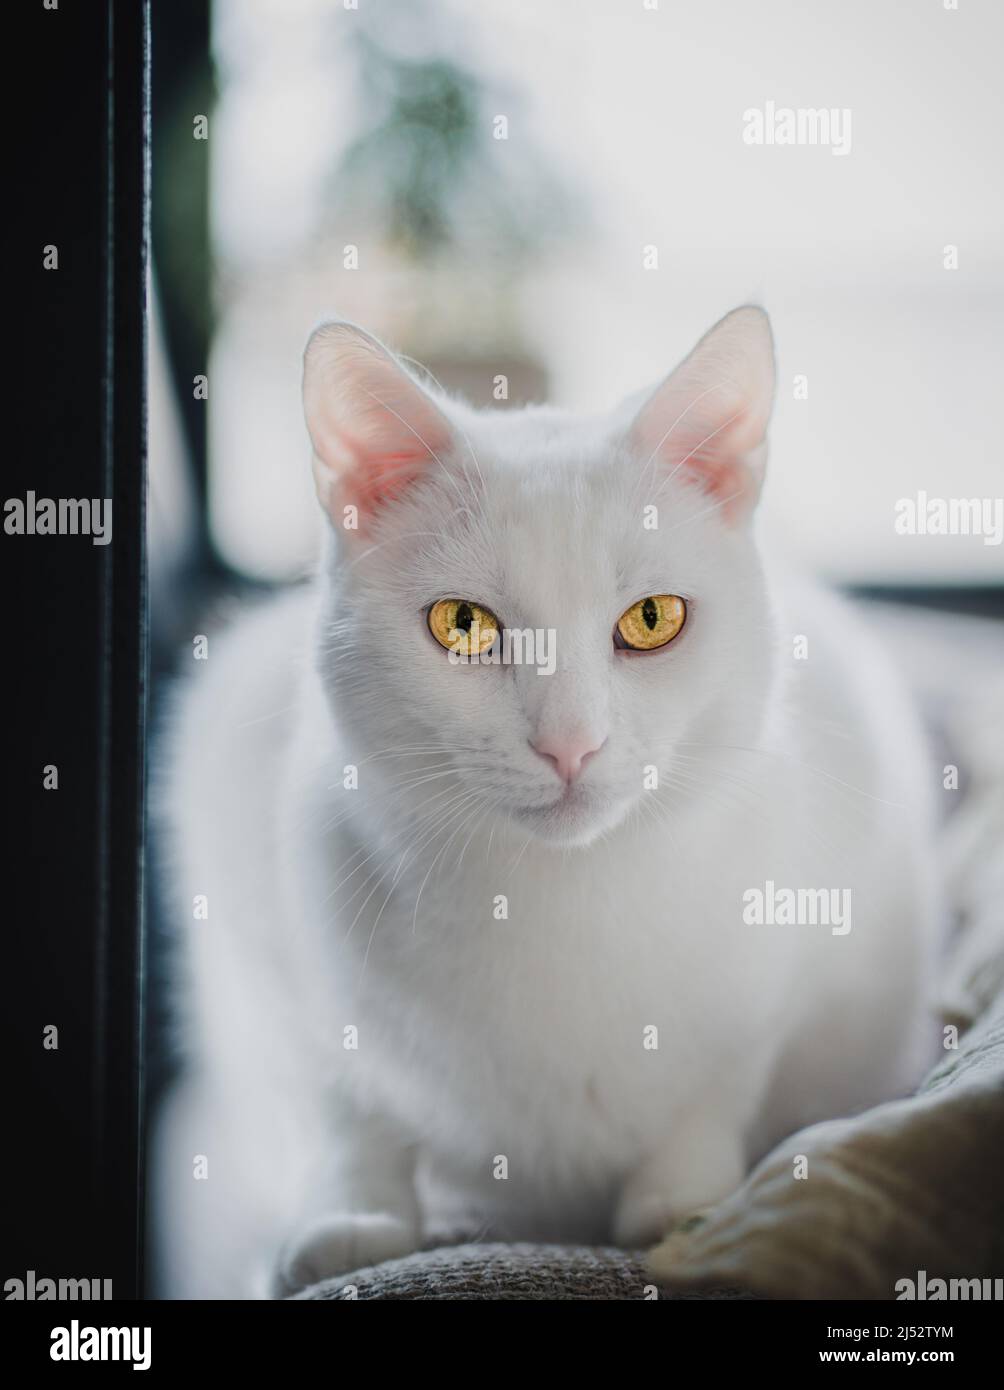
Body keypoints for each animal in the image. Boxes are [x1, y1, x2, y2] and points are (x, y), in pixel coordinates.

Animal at [150, 307, 940, 1301]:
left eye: (652, 619)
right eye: (463, 625)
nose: (571, 743)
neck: (552, 901)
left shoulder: (798, 966)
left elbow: (716, 1084)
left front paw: (680, 1202)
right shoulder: (265, 953)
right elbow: (348, 1103)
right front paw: (355, 1214)